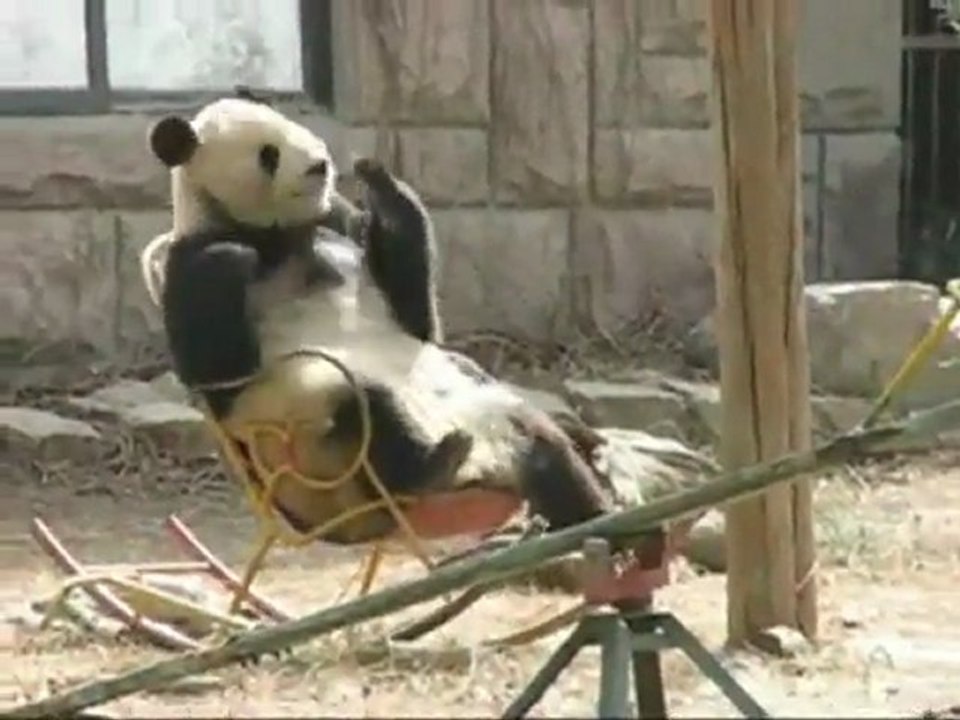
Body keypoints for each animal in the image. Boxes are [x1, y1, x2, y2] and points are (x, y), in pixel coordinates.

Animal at [146, 96, 618, 546]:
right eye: (268, 154)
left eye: (295, 126)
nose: (320, 165)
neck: (273, 233)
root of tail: (486, 467)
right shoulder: (192, 267)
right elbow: (222, 373)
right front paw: (233, 258)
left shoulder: (336, 224)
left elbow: (418, 317)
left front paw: (378, 181)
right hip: (321, 458)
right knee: (364, 405)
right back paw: (432, 467)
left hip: (490, 412)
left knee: (546, 449)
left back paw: (599, 519)